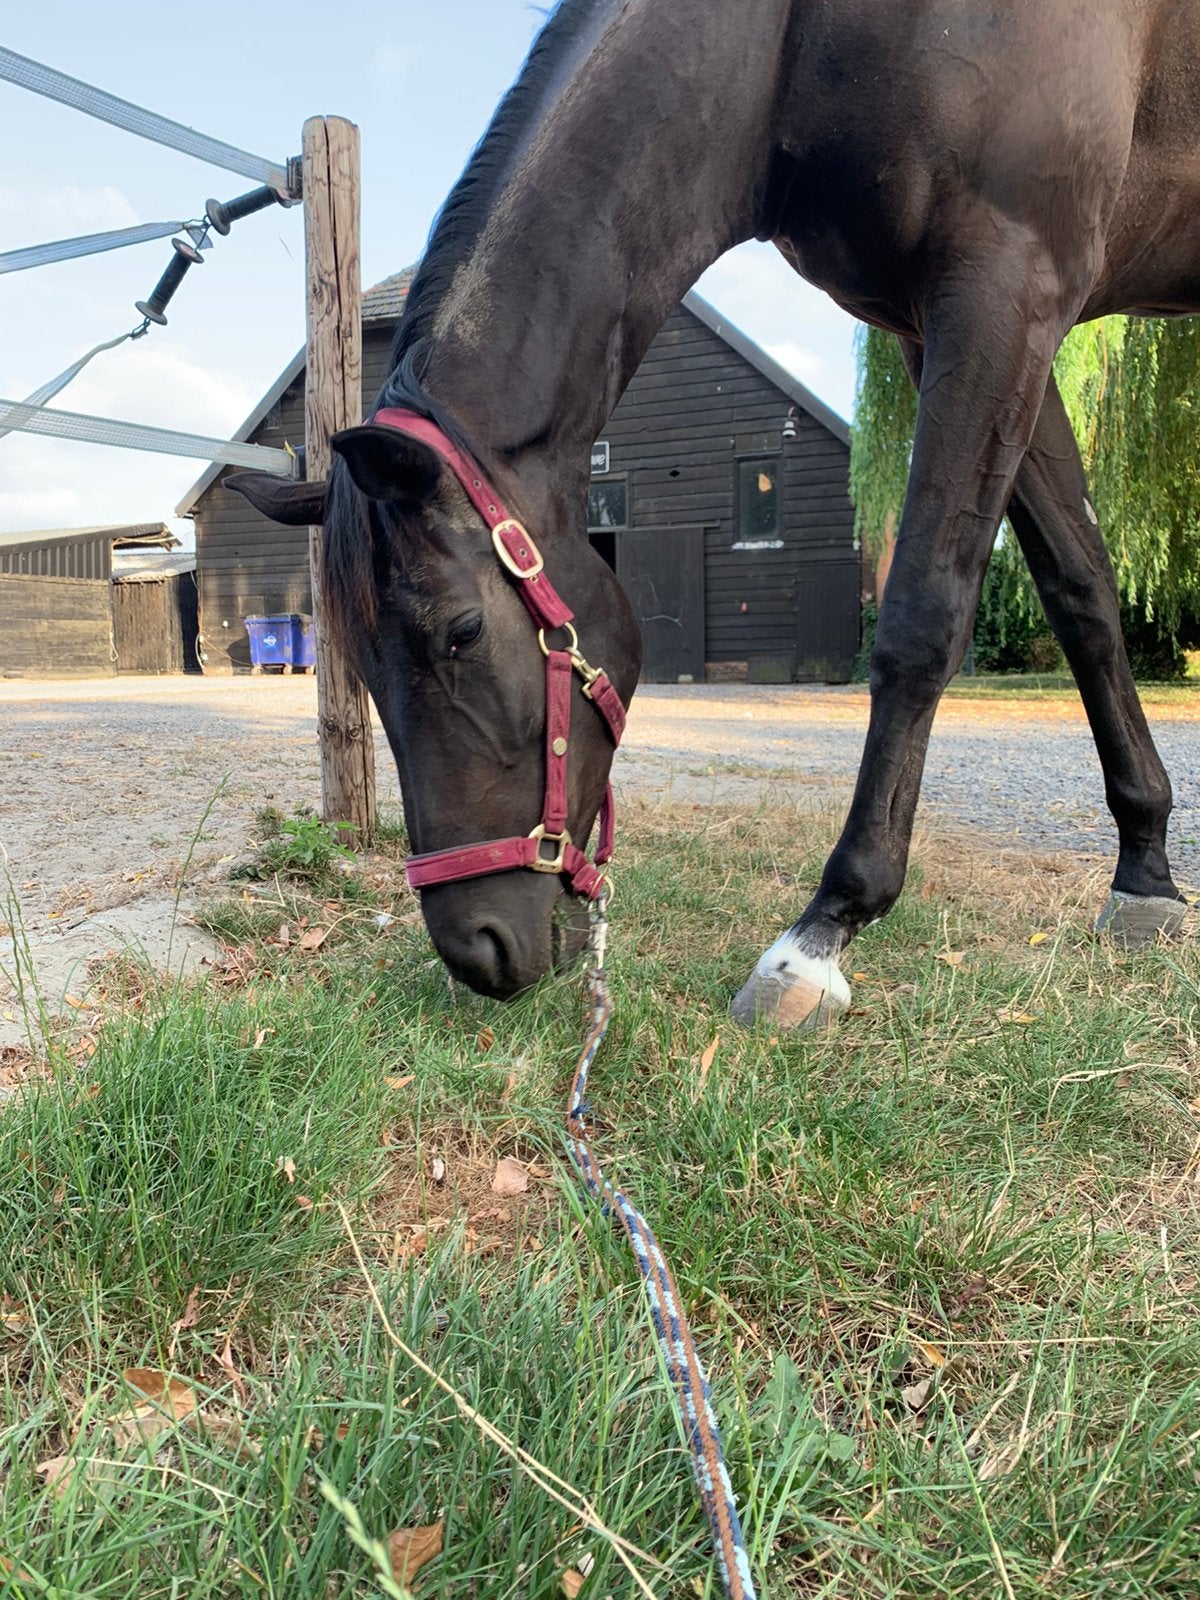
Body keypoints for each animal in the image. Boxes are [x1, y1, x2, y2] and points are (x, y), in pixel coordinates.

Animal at [231, 0, 1195, 1029]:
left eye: (459, 633)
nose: (476, 952)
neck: (797, 48)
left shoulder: (1006, 285)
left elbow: (921, 616)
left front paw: (824, 929)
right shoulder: (973, 322)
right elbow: (1082, 590)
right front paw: (1146, 873)